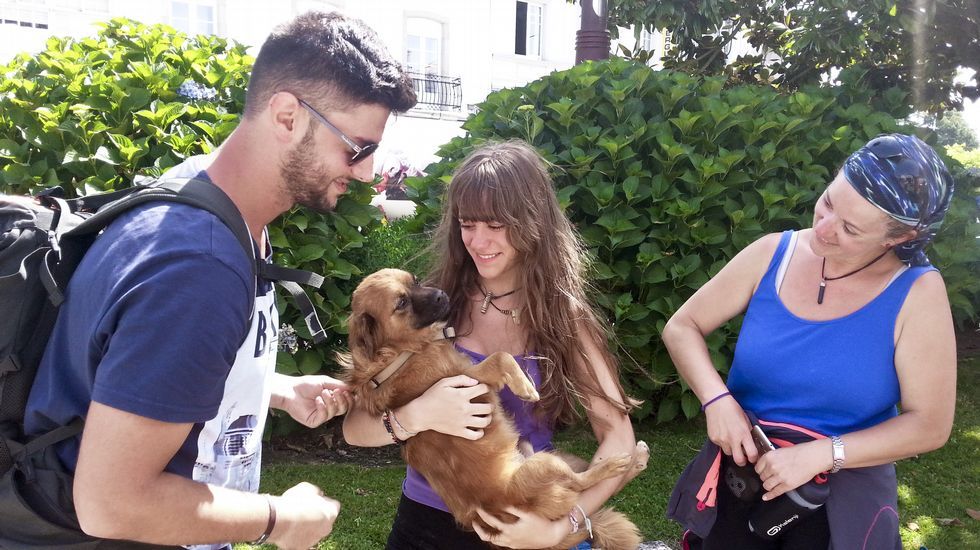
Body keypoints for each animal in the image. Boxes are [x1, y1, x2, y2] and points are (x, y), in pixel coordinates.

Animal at [341, 268, 647, 549]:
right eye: (401, 303)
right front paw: (525, 387)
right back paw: (621, 463)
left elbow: (502, 356)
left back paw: (634, 460)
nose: (440, 294)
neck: (399, 355)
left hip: (552, 456)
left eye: (415, 281)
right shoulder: (474, 378)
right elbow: (502, 356)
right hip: (545, 465)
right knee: (583, 483)